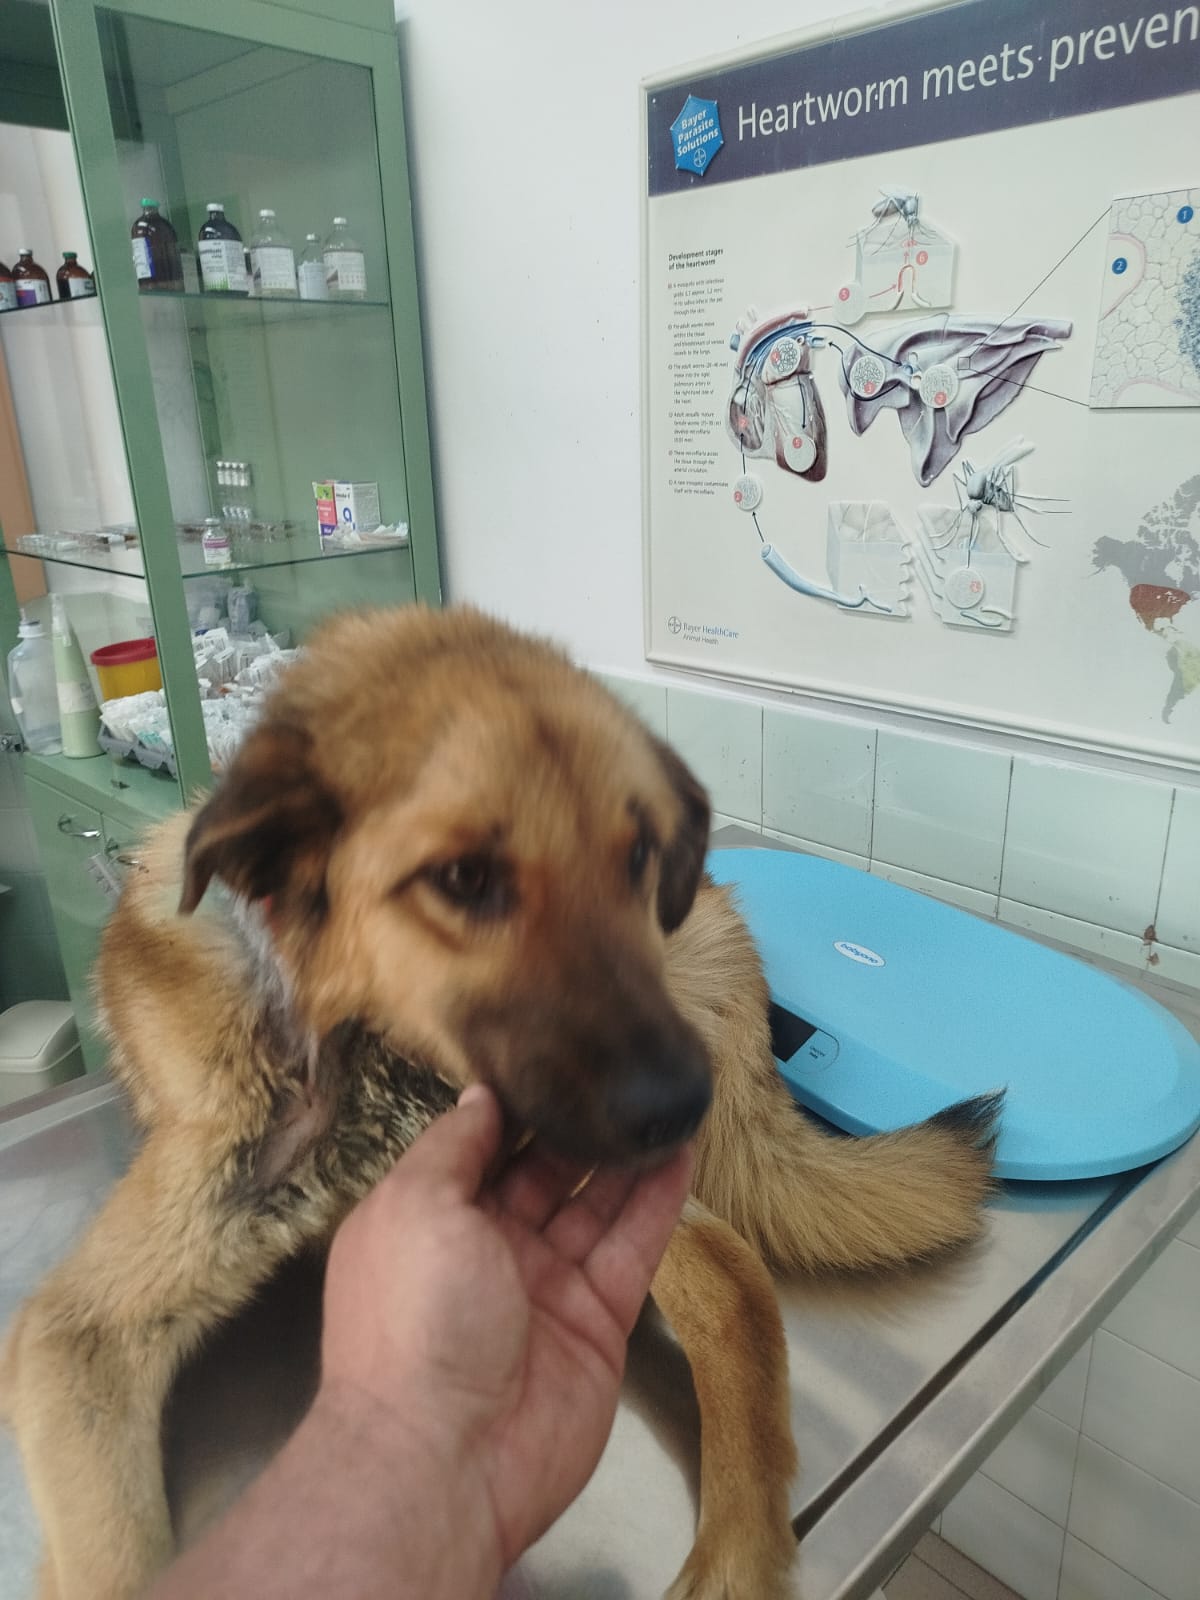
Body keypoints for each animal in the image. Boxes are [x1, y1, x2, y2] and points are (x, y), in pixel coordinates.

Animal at [1, 605, 1000, 1600]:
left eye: (636, 856)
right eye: (464, 880)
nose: (683, 1103)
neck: (368, 1059)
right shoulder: (81, 1336)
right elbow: (113, 1560)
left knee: (732, 1276)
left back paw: (739, 1554)